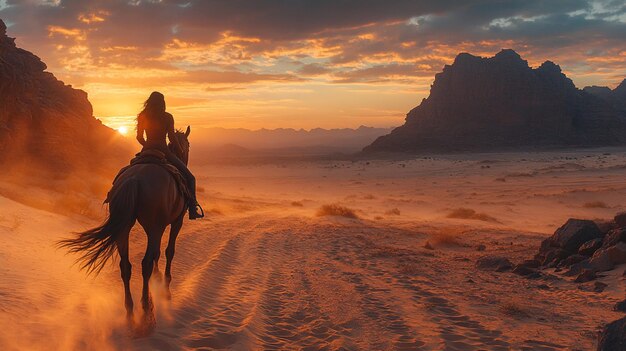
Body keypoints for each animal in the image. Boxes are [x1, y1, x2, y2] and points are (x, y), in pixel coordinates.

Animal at [61, 126, 194, 332]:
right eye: (187, 144)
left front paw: (157, 281)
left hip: (125, 228)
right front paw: (165, 290)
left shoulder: (162, 225)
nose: (185, 154)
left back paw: (130, 311)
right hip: (152, 227)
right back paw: (147, 311)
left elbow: (157, 253)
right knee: (145, 263)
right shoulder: (175, 222)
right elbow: (168, 251)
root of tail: (134, 179)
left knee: (126, 266)